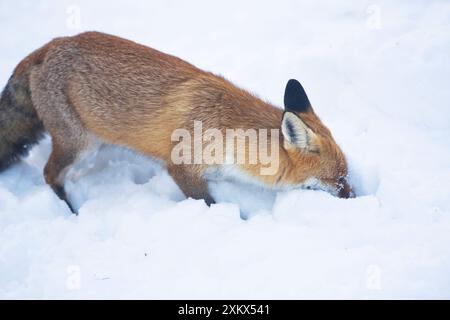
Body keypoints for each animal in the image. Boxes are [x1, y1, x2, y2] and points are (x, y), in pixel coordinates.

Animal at [0, 31, 352, 215]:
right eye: (337, 181)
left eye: (347, 177)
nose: (355, 197)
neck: (230, 132)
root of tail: (50, 44)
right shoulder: (182, 166)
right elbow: (207, 202)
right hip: (78, 145)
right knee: (49, 174)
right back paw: (68, 210)